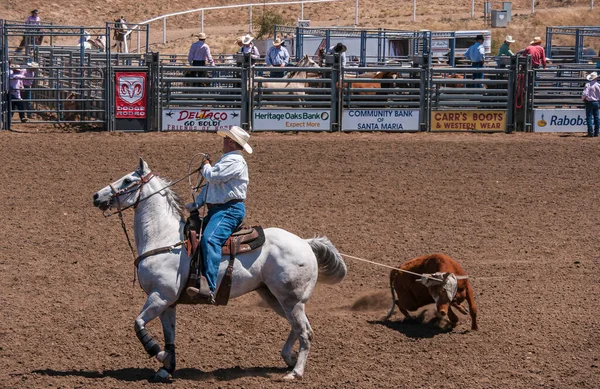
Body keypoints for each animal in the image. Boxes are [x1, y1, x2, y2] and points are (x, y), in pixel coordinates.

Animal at [92, 158, 350, 378]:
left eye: (128, 180)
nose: (96, 196)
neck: (164, 239)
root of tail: (305, 243)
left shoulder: (160, 296)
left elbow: (138, 324)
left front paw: (158, 353)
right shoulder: (168, 302)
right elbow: (169, 335)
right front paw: (167, 368)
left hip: (290, 299)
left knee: (305, 332)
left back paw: (295, 372)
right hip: (275, 297)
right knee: (297, 328)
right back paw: (289, 358)